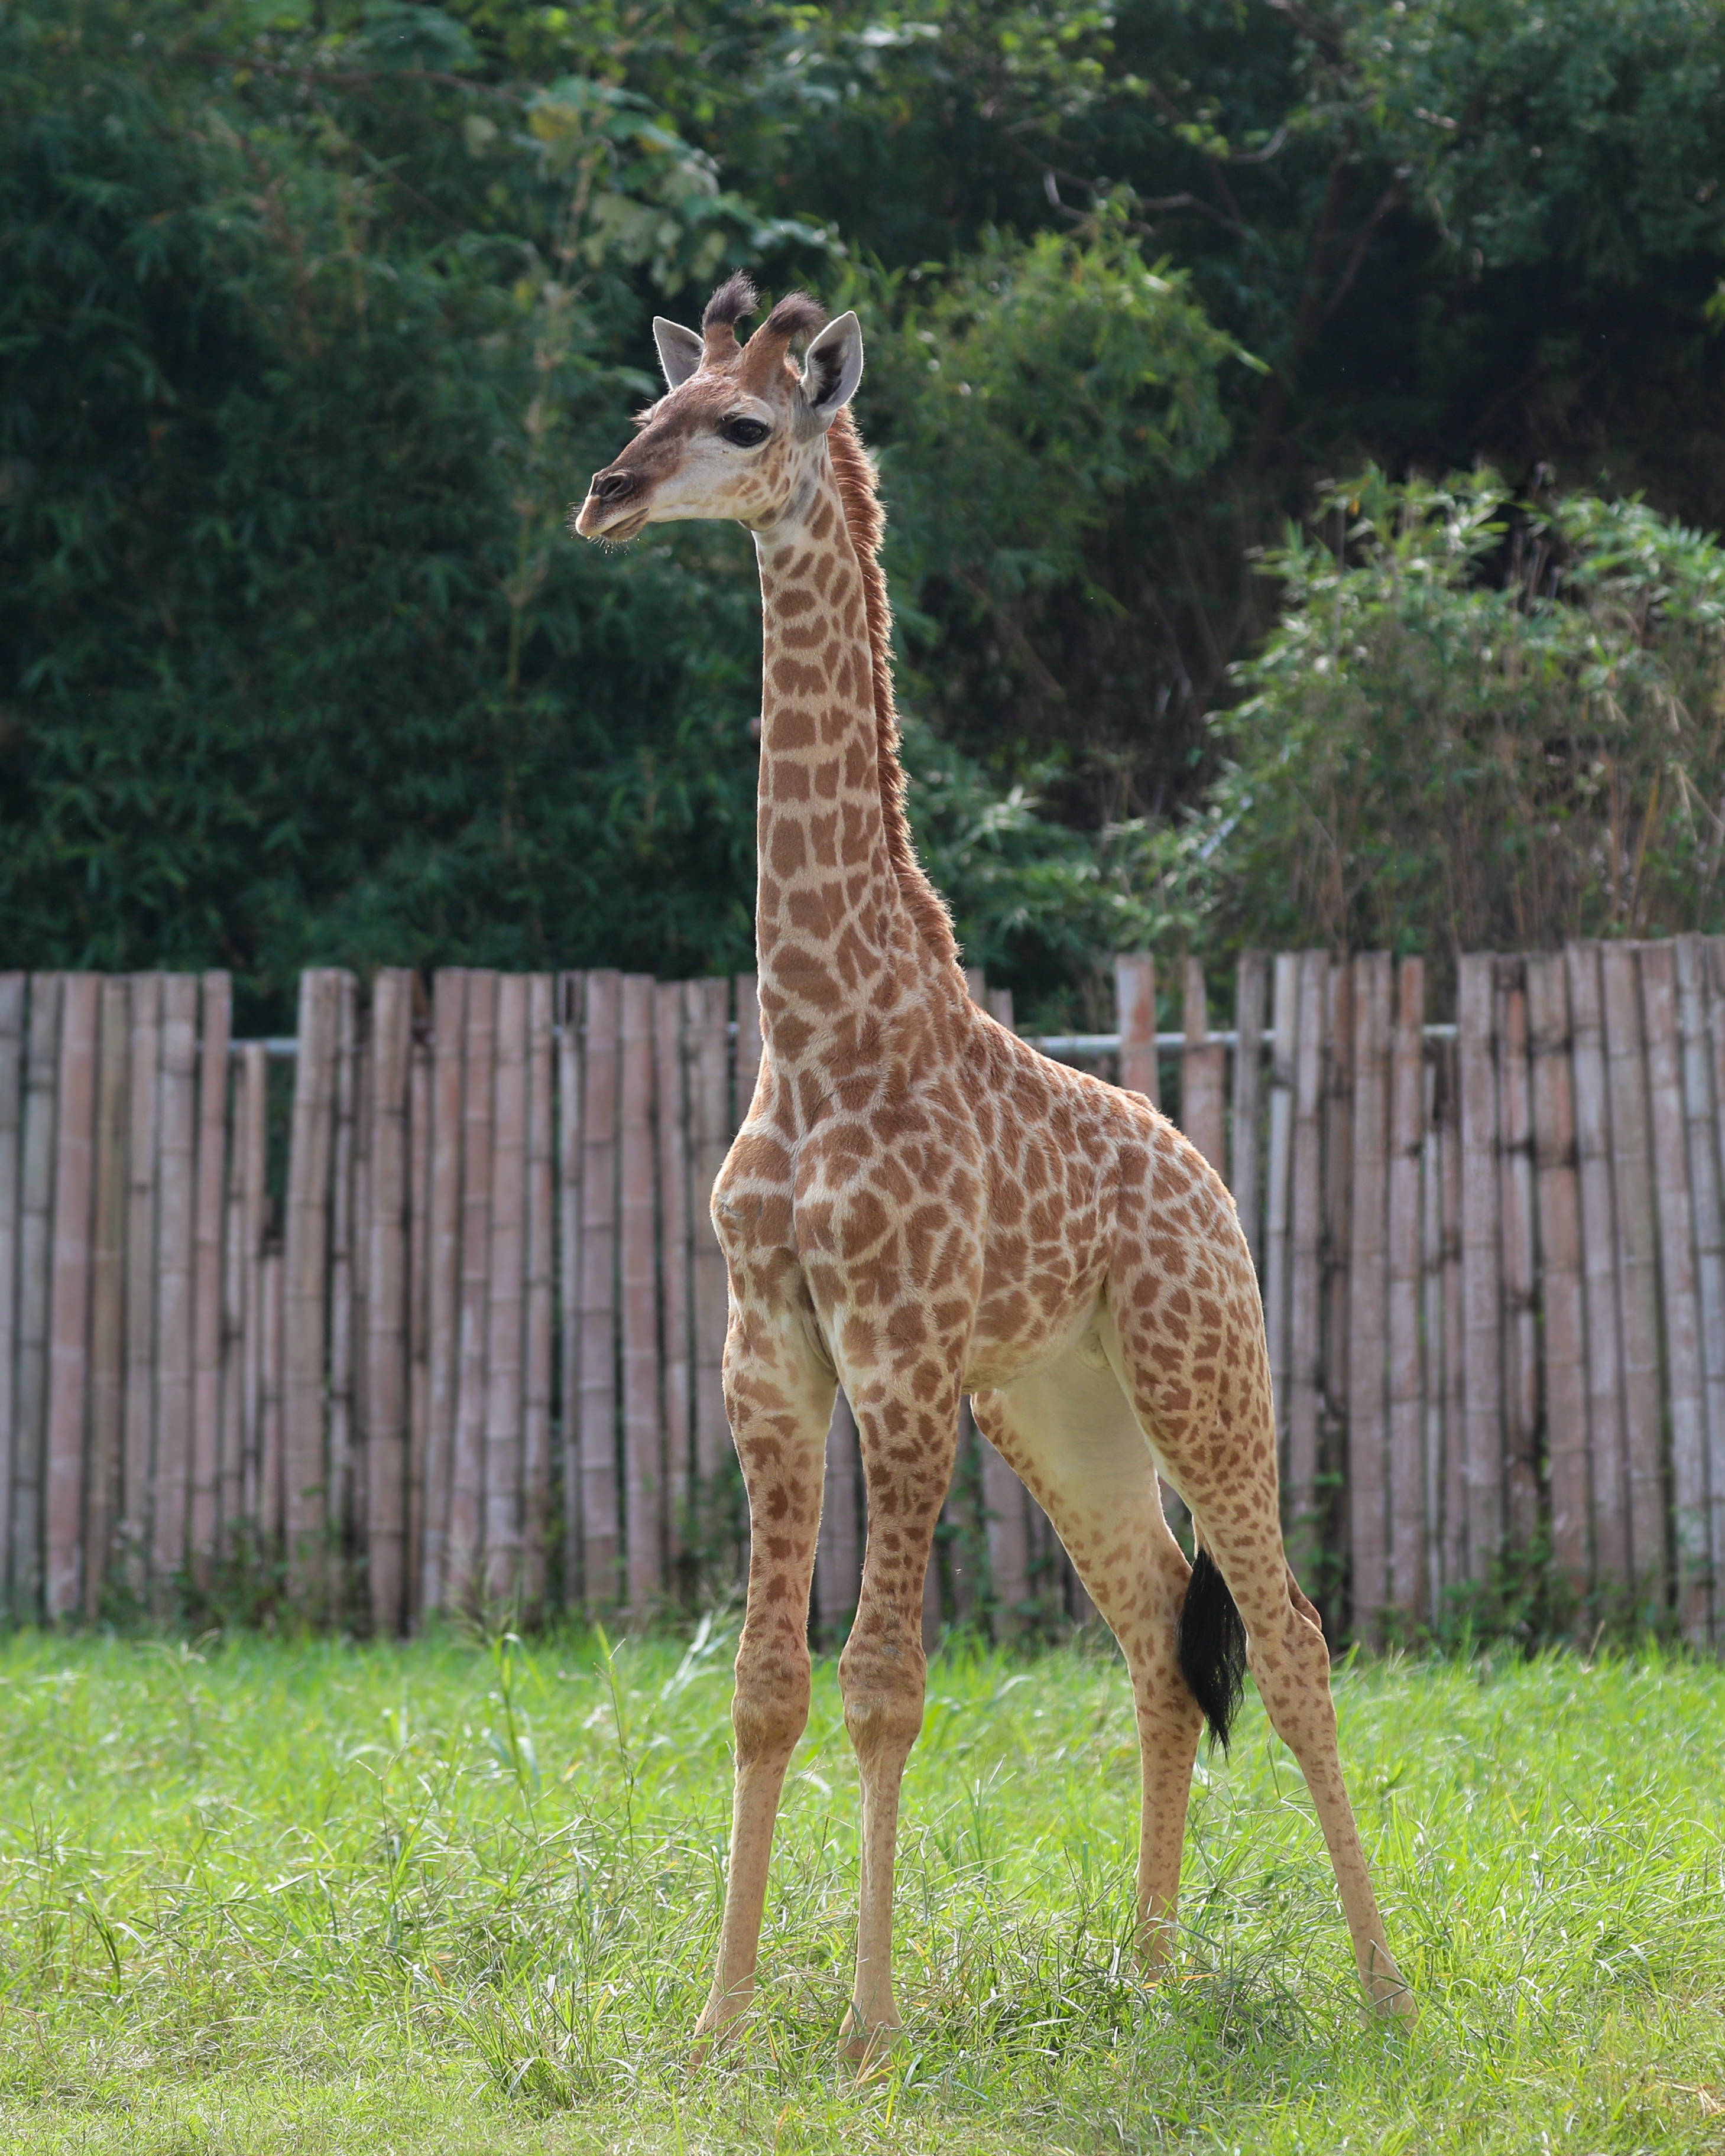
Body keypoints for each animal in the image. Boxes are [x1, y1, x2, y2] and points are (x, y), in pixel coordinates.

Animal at [578, 274, 1414, 2052]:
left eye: (738, 425)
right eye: (643, 411)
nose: (605, 494)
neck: (819, 1025)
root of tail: (1205, 1176)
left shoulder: (896, 1358)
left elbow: (883, 1689)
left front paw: (863, 2035)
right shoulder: (767, 1350)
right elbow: (764, 1688)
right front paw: (718, 2023)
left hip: (1198, 1366)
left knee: (1290, 1639)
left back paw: (1380, 1990)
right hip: (1059, 1404)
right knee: (1158, 1635)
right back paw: (1142, 1976)